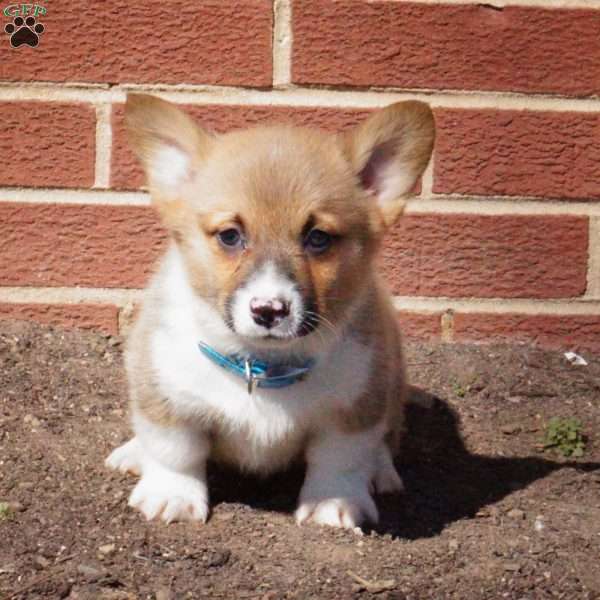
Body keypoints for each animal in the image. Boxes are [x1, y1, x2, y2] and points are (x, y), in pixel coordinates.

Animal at [106, 95, 436, 528]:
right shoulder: (166, 395)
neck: (262, 365)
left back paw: (381, 471)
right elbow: (175, 450)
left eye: (318, 238)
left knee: (384, 440)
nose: (268, 310)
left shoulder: (353, 410)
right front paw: (171, 496)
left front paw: (333, 505)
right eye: (230, 236)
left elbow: (340, 461)